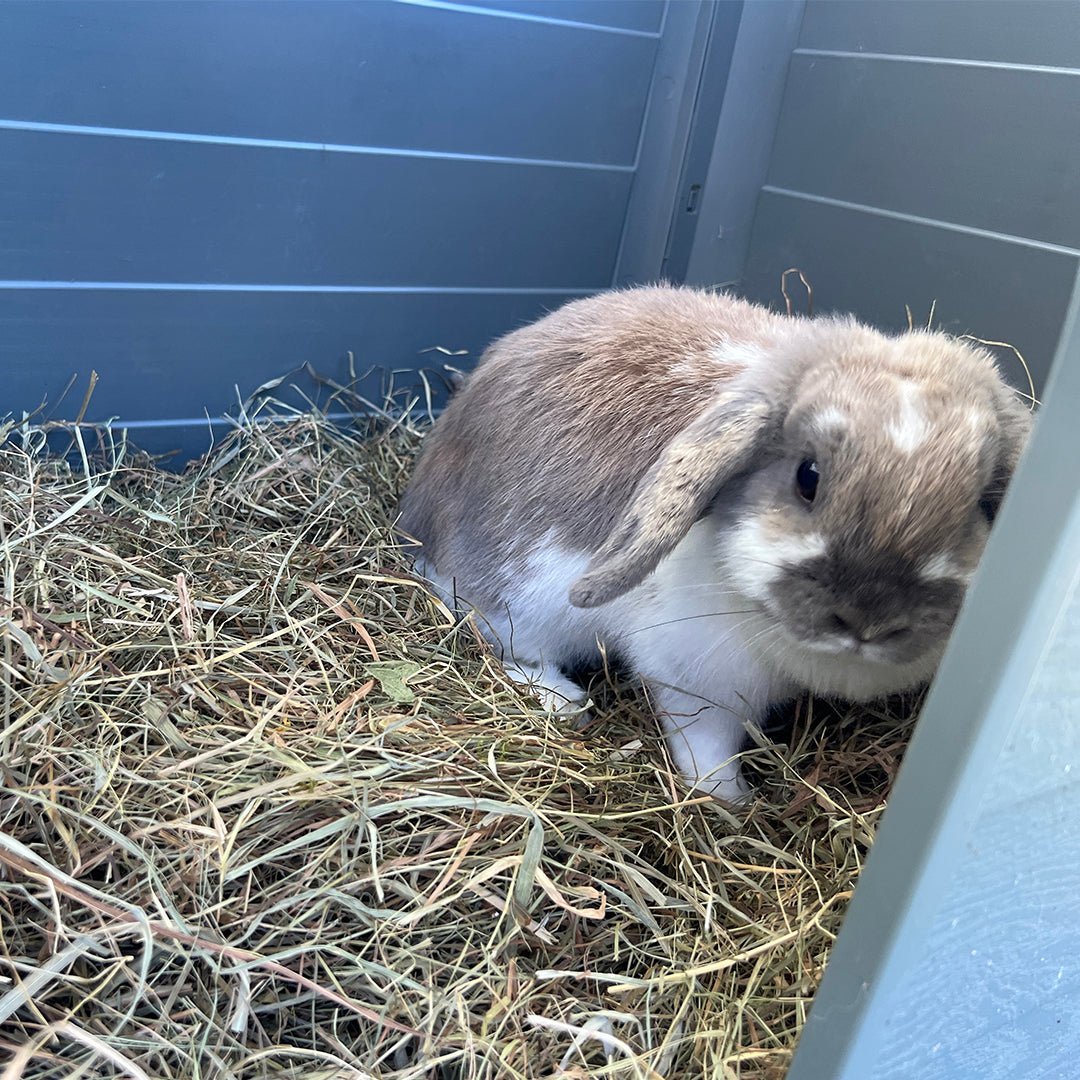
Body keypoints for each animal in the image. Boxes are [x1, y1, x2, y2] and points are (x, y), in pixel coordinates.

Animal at [398, 285, 1032, 802]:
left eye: (983, 505)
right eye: (808, 476)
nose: (867, 620)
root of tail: (415, 516)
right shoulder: (696, 678)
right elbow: (706, 741)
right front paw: (731, 801)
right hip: (514, 602)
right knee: (499, 642)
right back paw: (564, 701)